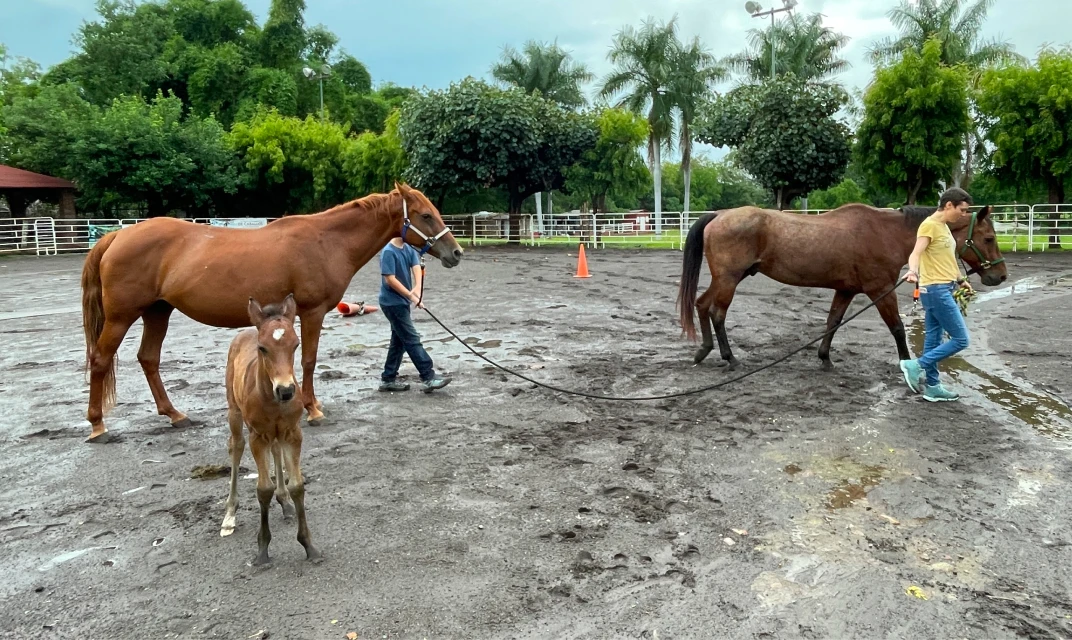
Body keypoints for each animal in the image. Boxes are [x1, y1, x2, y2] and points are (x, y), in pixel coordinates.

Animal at [78, 180, 456, 441]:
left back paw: (175, 415)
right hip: (121, 317)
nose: (456, 253)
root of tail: (117, 236)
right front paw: (312, 409)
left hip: (158, 311)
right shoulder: (312, 312)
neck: (327, 241)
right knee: (100, 360)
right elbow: (308, 360)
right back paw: (98, 425)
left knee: (149, 359)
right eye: (425, 215)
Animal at [220, 293, 321, 566]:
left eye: (296, 345)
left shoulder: (293, 433)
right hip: (234, 412)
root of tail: (246, 330)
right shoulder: (257, 435)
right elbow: (263, 489)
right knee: (236, 447)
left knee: (275, 450)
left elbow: (297, 485)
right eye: (262, 348)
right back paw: (229, 515)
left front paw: (309, 546)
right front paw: (263, 549)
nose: (286, 390)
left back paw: (284, 501)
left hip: (276, 433)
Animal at [677, 202, 1003, 370]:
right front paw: (906, 364)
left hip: (729, 278)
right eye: (988, 238)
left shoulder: (846, 290)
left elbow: (833, 322)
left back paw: (703, 351)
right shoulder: (879, 290)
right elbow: (897, 328)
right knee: (717, 313)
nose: (1000, 276)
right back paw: (729, 358)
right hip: (730, 279)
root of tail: (719, 215)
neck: (885, 233)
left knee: (702, 305)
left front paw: (825, 358)